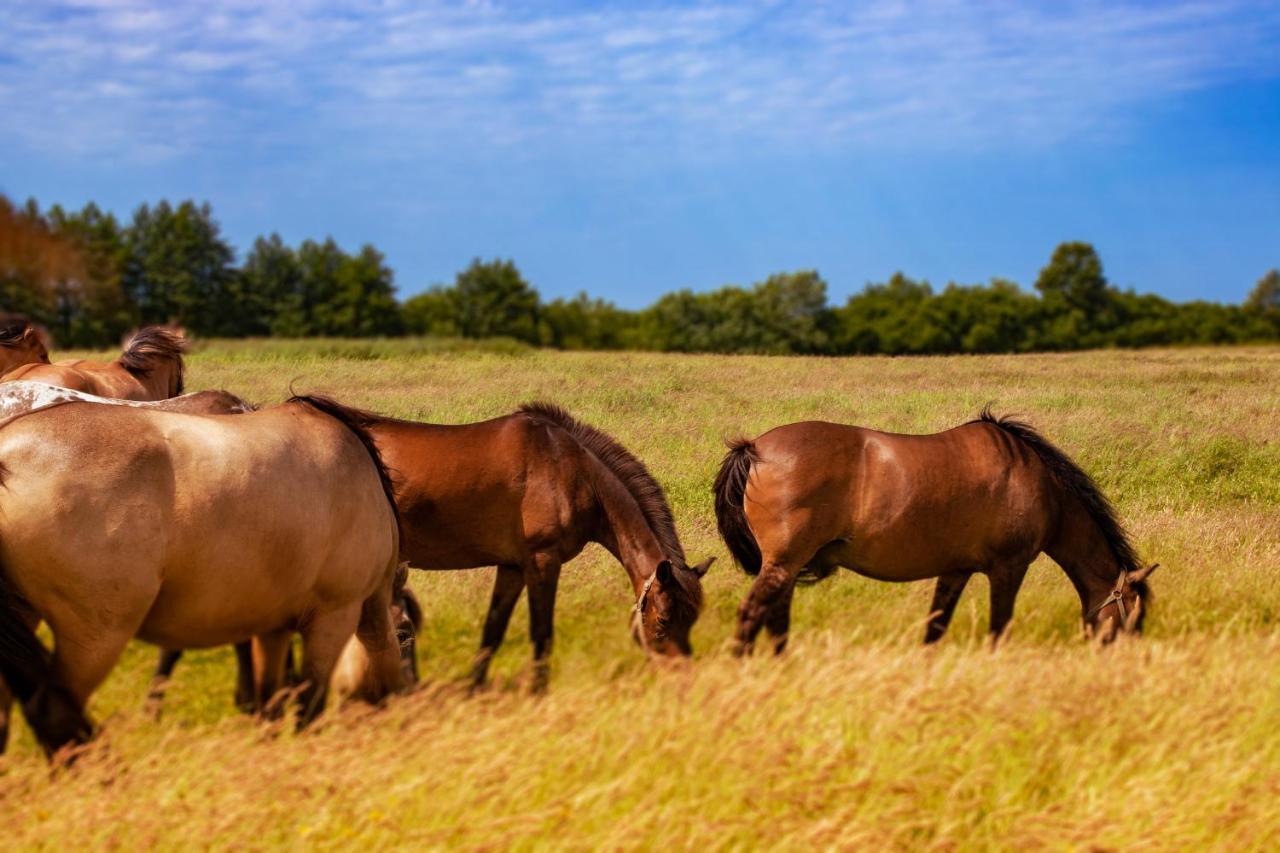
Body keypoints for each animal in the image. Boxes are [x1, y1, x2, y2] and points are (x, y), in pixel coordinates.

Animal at [0, 389, 404, 753]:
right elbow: (309, 710)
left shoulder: (273, 629)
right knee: (55, 712)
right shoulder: (334, 618)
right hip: (94, 639)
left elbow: (270, 705)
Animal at [716, 404, 1157, 650]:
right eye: (1133, 618)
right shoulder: (1009, 569)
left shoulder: (955, 572)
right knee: (753, 615)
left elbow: (935, 628)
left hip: (788, 568)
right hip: (783, 564)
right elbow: (998, 629)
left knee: (775, 620)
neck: (1040, 484)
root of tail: (755, 449)